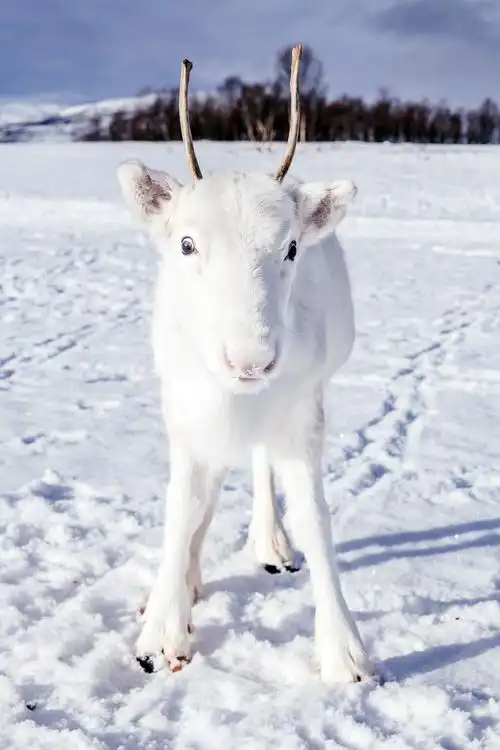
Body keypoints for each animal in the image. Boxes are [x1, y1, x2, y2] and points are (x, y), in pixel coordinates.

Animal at [116, 44, 374, 684]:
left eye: (291, 247)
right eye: (186, 243)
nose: (251, 360)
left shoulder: (303, 416)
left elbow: (315, 519)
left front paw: (345, 652)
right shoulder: (185, 414)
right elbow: (183, 508)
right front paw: (162, 629)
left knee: (259, 469)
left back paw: (269, 543)